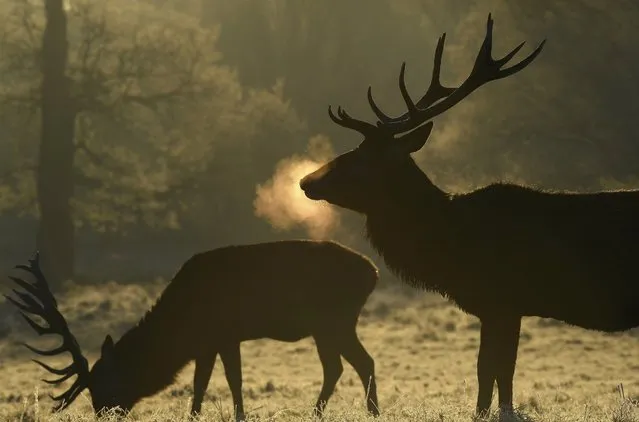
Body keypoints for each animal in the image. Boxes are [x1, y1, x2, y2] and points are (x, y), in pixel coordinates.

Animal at [5, 242, 380, 420]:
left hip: (334, 320)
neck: (182, 325)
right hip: (328, 325)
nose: (103, 414)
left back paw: (362, 412)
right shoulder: (207, 343)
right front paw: (195, 415)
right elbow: (201, 383)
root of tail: (373, 272)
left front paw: (239, 416)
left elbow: (233, 380)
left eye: (105, 382)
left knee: (358, 363)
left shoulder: (226, 333)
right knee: (343, 366)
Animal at [302, 13, 639, 418]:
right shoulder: (499, 308)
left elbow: (491, 374)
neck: (453, 248)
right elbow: (496, 375)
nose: (305, 181)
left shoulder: (503, 302)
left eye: (361, 158)